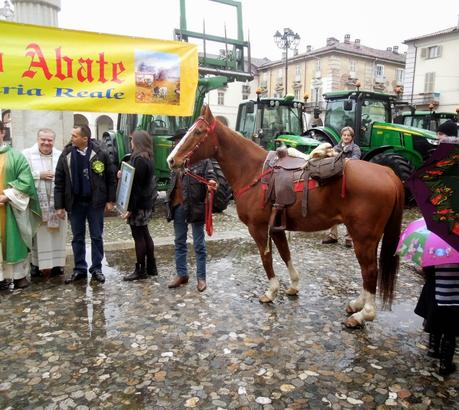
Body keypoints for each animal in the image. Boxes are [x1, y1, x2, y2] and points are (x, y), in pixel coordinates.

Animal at [167, 105, 404, 326]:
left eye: (198, 132)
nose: (171, 160)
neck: (253, 172)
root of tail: (388, 173)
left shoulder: (258, 228)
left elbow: (266, 258)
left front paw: (271, 292)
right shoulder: (276, 227)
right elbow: (285, 254)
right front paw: (293, 286)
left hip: (363, 237)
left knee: (370, 270)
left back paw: (363, 314)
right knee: (367, 270)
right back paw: (357, 304)